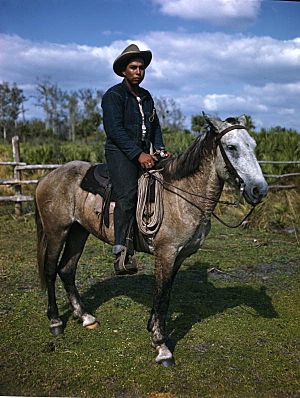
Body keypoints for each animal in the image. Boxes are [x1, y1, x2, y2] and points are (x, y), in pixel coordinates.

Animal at [34, 113, 268, 366]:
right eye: (231, 147)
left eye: (253, 145)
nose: (259, 190)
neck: (181, 195)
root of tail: (48, 176)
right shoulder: (166, 253)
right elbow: (161, 294)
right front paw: (161, 346)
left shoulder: (179, 256)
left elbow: (165, 295)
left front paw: (153, 328)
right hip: (57, 231)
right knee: (50, 270)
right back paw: (55, 321)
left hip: (79, 232)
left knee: (67, 269)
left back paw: (85, 316)